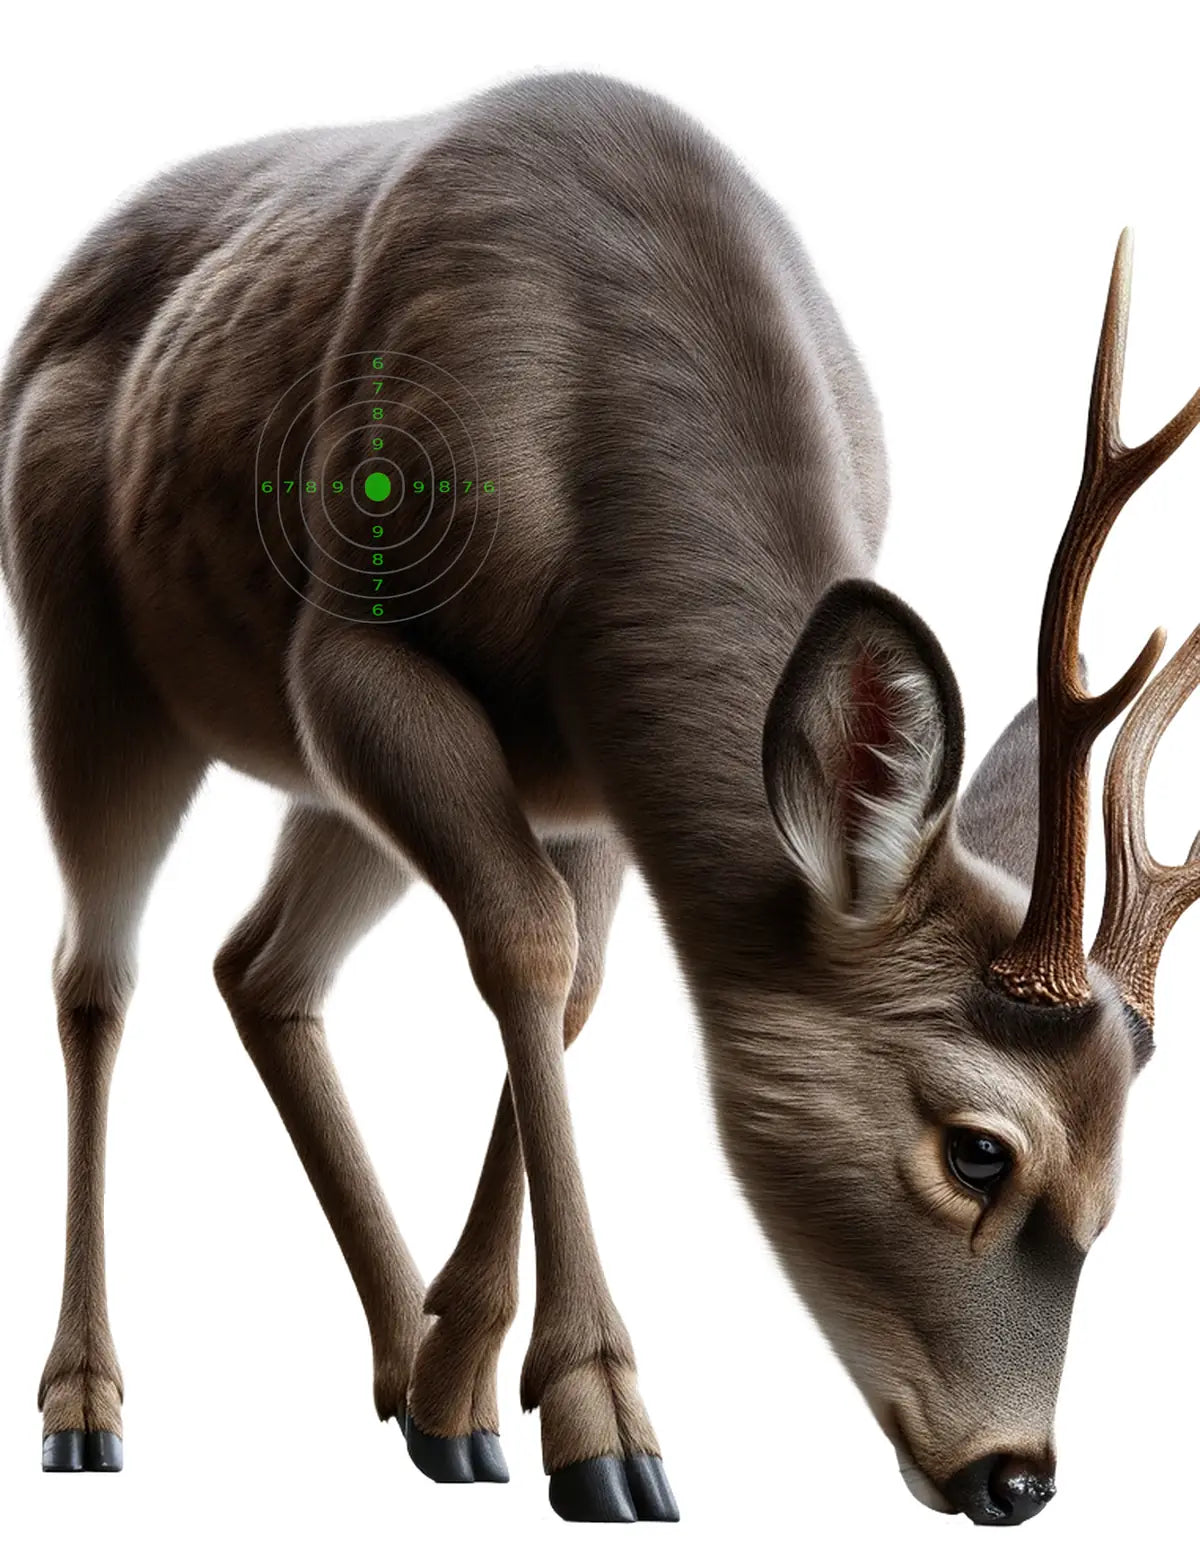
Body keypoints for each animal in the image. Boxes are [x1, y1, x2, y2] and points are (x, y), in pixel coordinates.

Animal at [1, 70, 1198, 1528]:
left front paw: (467, 1388)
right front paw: (603, 1424)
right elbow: (526, 945)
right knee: (94, 972)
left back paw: (403, 1365)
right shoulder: (351, 652)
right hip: (87, 656)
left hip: (321, 791)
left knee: (257, 963)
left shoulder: (585, 777)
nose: (1016, 1472)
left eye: (1122, 1172)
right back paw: (83, 1404)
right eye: (980, 1148)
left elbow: (570, 986)